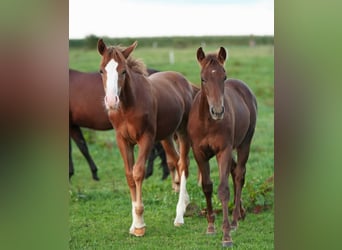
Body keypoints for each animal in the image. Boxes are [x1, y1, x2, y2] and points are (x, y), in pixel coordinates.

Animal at [97, 39, 196, 236]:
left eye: (123, 71)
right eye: (102, 70)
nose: (111, 101)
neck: (128, 106)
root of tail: (186, 82)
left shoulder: (146, 138)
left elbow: (138, 172)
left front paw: (140, 225)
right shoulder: (123, 140)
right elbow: (129, 175)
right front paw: (134, 224)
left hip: (182, 132)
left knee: (183, 163)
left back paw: (179, 215)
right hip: (166, 136)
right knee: (175, 160)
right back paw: (186, 202)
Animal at [188, 46, 258, 247]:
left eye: (224, 77)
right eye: (203, 78)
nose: (218, 111)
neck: (207, 123)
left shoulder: (224, 151)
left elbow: (223, 190)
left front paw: (226, 235)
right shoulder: (199, 153)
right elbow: (207, 186)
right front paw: (211, 226)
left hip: (244, 143)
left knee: (239, 175)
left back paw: (234, 221)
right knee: (235, 172)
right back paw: (240, 213)